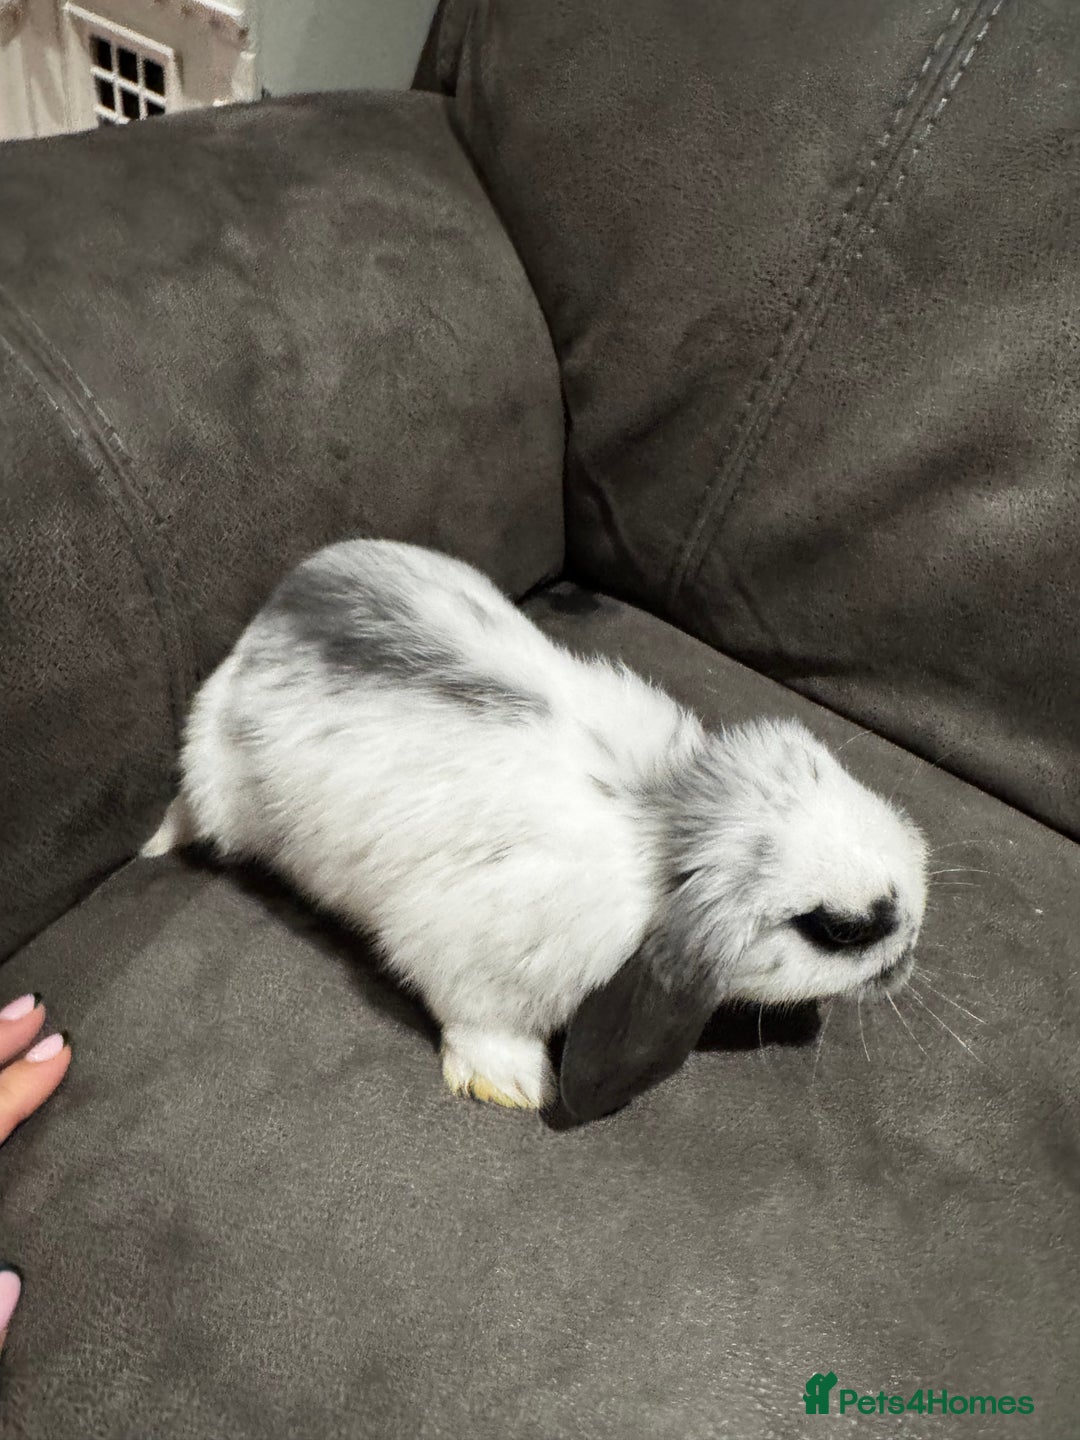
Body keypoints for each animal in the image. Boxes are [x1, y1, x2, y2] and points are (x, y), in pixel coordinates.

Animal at [143, 538, 929, 1123]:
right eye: (836, 929)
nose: (912, 939)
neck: (666, 824)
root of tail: (267, 616)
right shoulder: (467, 954)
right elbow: (482, 1022)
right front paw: (512, 1087)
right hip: (217, 784)